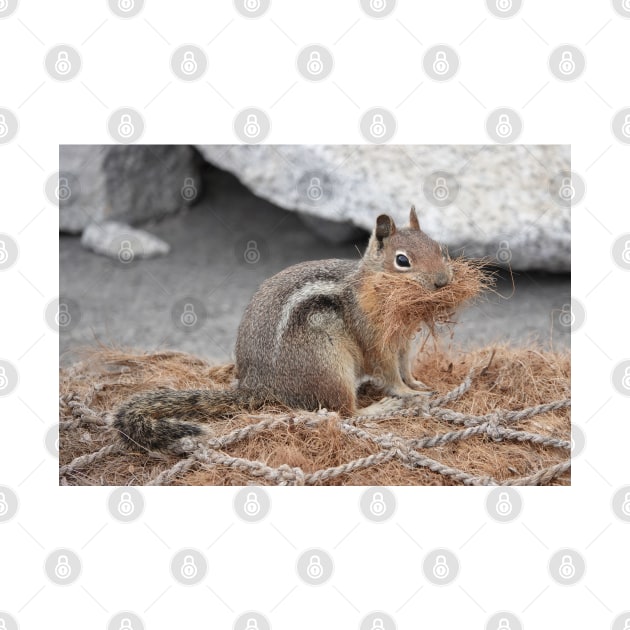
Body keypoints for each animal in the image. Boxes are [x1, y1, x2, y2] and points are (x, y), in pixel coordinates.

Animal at [115, 210, 454, 452]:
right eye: (402, 260)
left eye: (439, 248)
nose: (442, 281)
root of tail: (257, 386)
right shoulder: (375, 341)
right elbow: (390, 375)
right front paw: (407, 394)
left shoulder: (404, 342)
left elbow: (406, 368)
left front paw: (418, 384)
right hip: (330, 366)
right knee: (343, 413)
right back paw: (380, 408)